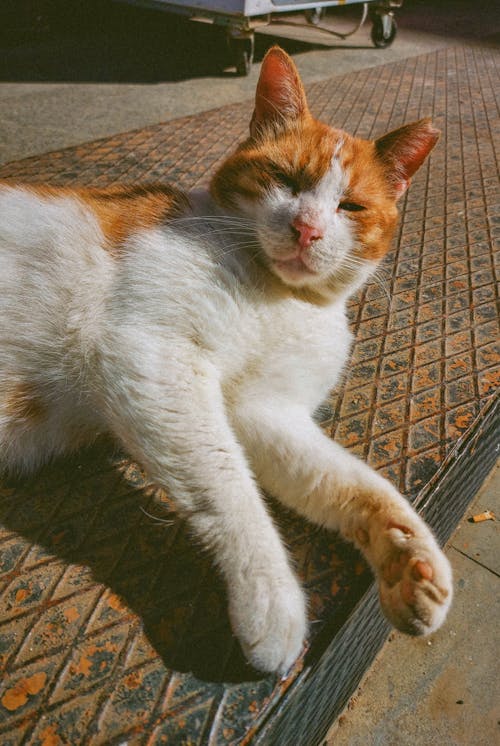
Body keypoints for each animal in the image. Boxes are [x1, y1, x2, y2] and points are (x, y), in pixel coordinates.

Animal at [0, 48, 454, 676]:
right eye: (286, 179)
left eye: (351, 206)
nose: (308, 229)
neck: (281, 297)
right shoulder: (151, 354)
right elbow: (228, 483)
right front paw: (273, 603)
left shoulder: (265, 411)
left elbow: (356, 485)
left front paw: (413, 562)